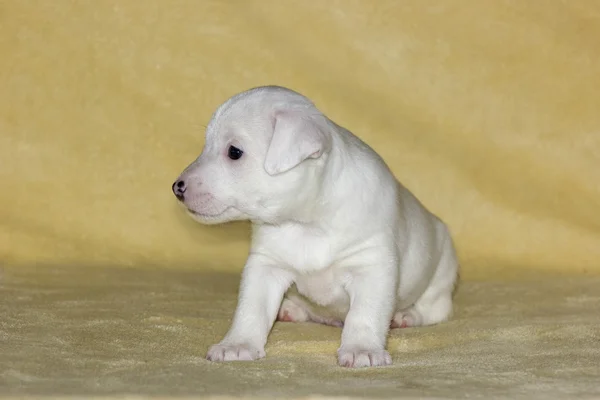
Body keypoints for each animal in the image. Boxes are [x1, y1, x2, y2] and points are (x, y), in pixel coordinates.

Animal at [173, 86, 460, 368]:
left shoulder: (371, 266)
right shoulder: (265, 267)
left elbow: (364, 314)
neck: (307, 222)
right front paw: (237, 344)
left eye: (234, 152)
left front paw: (362, 349)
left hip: (442, 270)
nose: (177, 187)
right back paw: (291, 309)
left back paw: (407, 315)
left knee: (435, 308)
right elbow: (250, 309)